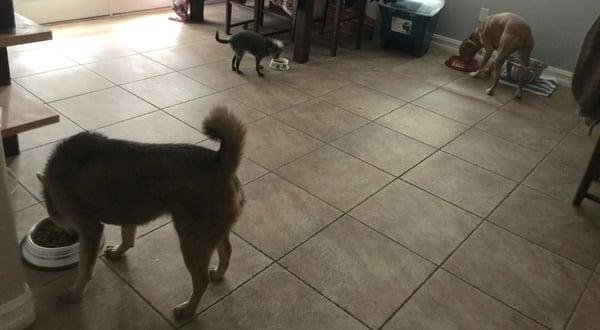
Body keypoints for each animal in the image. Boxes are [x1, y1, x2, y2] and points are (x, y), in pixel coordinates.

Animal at [37, 107, 246, 318]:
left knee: (201, 280)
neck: (52, 186)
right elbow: (127, 237)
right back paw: (218, 274)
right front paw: (119, 251)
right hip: (211, 234)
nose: (67, 232)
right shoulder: (127, 212)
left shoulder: (90, 229)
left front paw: (75, 293)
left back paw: (188, 308)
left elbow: (85, 269)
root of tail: (220, 163)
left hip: (192, 242)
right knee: (226, 251)